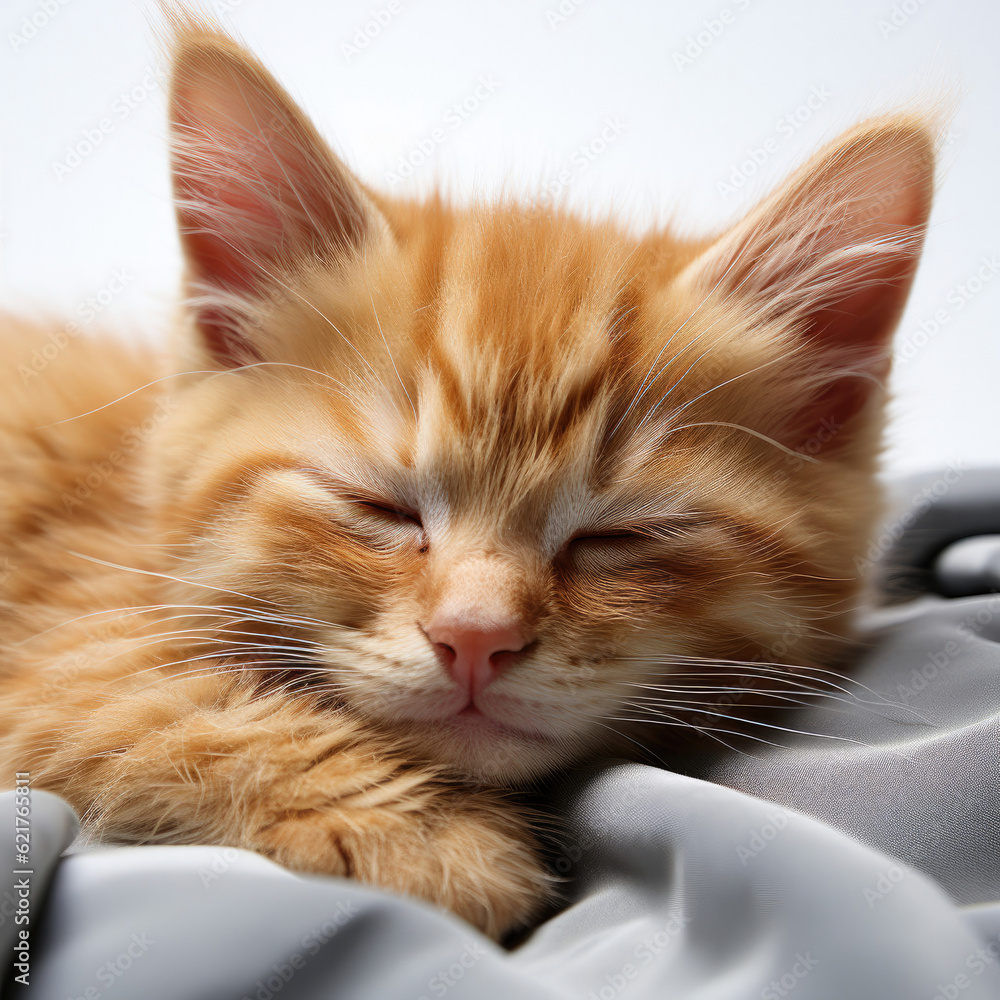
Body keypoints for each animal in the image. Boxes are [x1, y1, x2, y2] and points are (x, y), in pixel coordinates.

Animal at [0, 15, 936, 936]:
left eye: (619, 535)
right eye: (379, 505)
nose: (475, 639)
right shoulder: (67, 625)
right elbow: (150, 696)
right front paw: (427, 835)